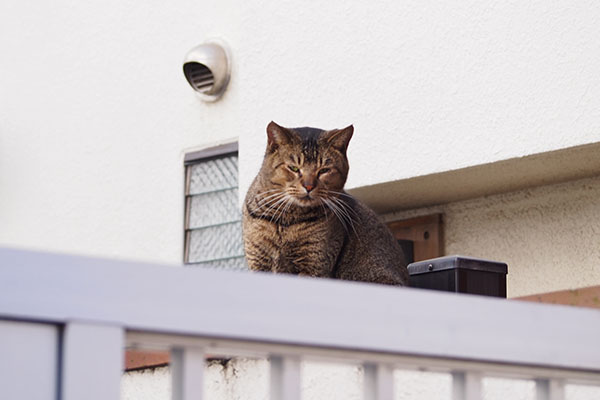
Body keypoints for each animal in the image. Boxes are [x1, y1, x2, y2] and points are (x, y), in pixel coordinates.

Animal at [241, 121, 410, 284]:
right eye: (294, 168)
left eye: (324, 170)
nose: (309, 186)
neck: (286, 221)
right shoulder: (258, 260)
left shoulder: (314, 263)